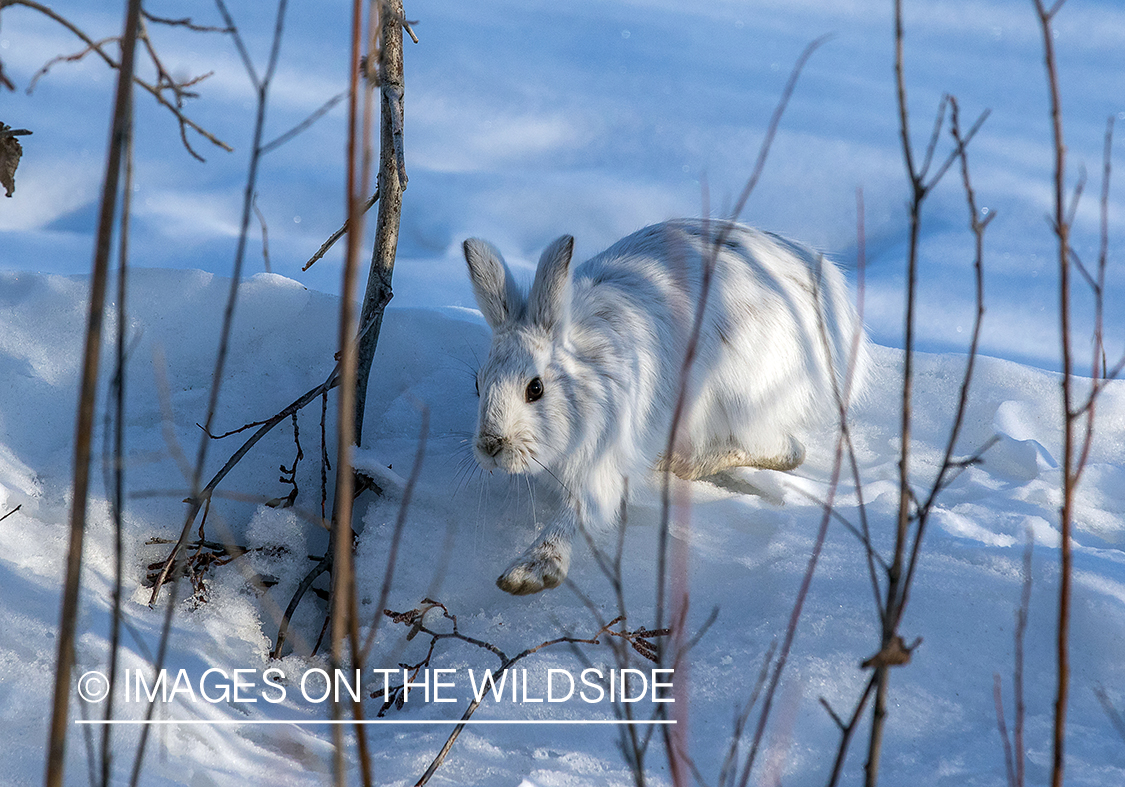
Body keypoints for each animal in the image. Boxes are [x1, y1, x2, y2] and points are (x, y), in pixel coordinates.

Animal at [462, 219, 869, 595]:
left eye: (535, 388)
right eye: (478, 385)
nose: (490, 447)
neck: (586, 378)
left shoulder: (603, 457)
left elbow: (581, 511)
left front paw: (530, 571)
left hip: (748, 400)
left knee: (788, 451)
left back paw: (682, 462)